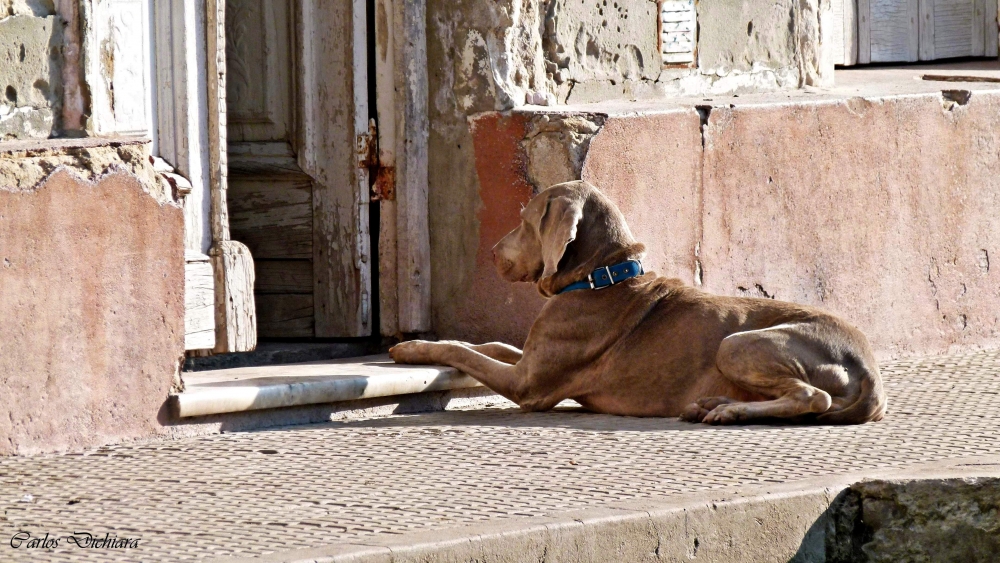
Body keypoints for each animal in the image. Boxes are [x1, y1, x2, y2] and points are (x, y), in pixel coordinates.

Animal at [386, 181, 888, 424]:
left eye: (525, 220)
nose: (491, 253)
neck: (600, 277)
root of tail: (869, 368)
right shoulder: (530, 357)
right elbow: (487, 345)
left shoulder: (528, 384)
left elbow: (464, 351)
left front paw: (409, 349)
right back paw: (711, 404)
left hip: (738, 343)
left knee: (814, 396)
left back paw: (731, 411)